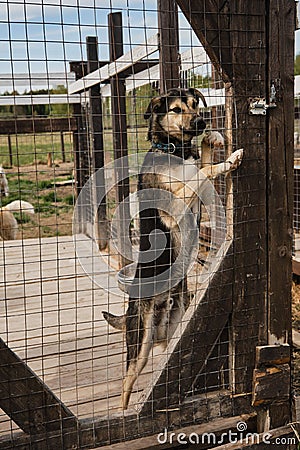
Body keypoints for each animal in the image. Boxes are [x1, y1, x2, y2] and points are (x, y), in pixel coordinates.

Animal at [102, 89, 243, 412]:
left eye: (194, 104)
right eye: (176, 110)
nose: (202, 122)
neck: (173, 149)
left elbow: (201, 164)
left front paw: (211, 140)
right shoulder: (176, 205)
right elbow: (204, 171)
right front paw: (229, 160)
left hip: (178, 324)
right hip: (139, 343)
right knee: (126, 384)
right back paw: (125, 415)